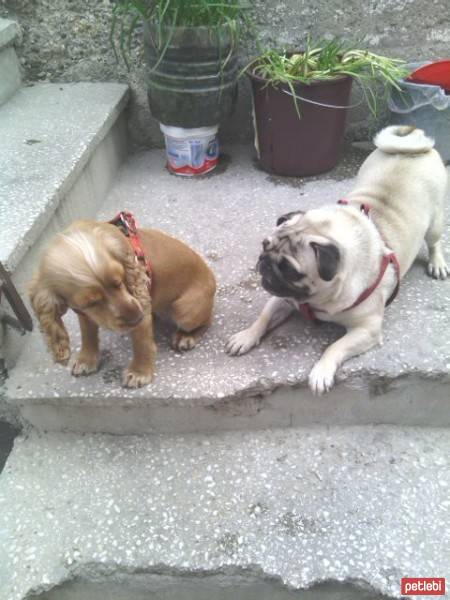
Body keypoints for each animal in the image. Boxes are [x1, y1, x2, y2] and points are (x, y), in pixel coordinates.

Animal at [29, 217, 216, 390]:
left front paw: (139, 372)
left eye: (119, 282)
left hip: (183, 310)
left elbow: (141, 343)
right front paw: (86, 359)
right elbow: (87, 334)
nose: (136, 318)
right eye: (92, 302)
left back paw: (186, 336)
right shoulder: (85, 313)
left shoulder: (141, 302)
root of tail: (213, 281)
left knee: (207, 321)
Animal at [227, 125, 448, 394]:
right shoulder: (281, 299)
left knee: (435, 242)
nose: (264, 262)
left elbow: (335, 347)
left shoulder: (367, 329)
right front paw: (246, 336)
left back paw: (437, 263)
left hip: (435, 222)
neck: (318, 300)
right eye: (264, 245)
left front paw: (321, 371)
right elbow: (264, 317)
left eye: (289, 270)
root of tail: (413, 146)